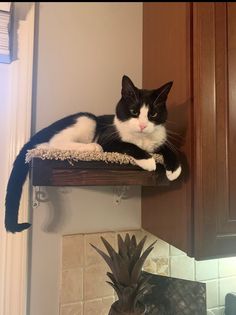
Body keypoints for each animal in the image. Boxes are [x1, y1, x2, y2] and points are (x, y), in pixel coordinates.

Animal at [4, 75, 181, 233]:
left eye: (153, 114)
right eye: (134, 111)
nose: (143, 125)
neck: (142, 139)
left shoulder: (159, 139)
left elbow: (169, 148)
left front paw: (174, 170)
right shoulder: (109, 139)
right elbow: (129, 145)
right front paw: (149, 161)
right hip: (87, 120)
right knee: (56, 141)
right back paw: (91, 147)